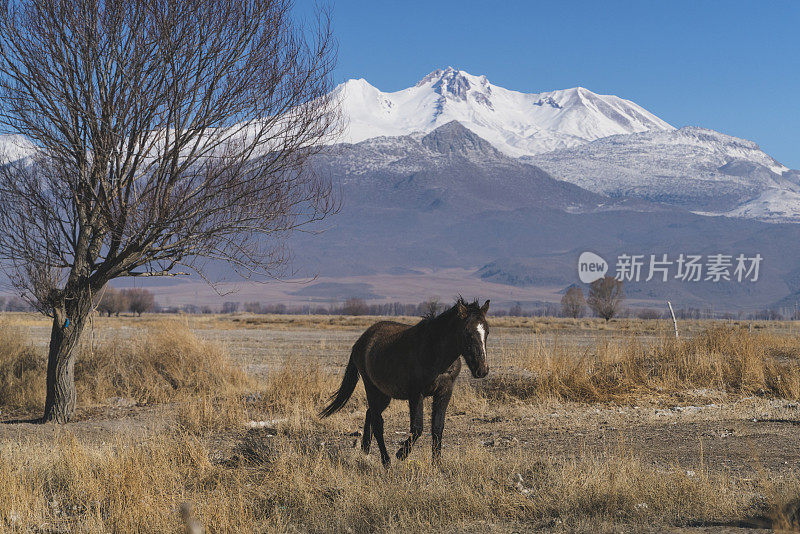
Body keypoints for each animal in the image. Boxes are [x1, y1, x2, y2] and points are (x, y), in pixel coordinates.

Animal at [318, 300, 488, 466]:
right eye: (467, 333)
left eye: (486, 332)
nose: (482, 370)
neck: (435, 353)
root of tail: (361, 341)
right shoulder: (416, 394)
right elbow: (417, 428)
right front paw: (401, 454)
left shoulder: (444, 392)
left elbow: (438, 428)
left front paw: (437, 464)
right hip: (371, 388)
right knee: (378, 423)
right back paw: (386, 462)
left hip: (384, 394)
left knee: (370, 414)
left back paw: (365, 450)